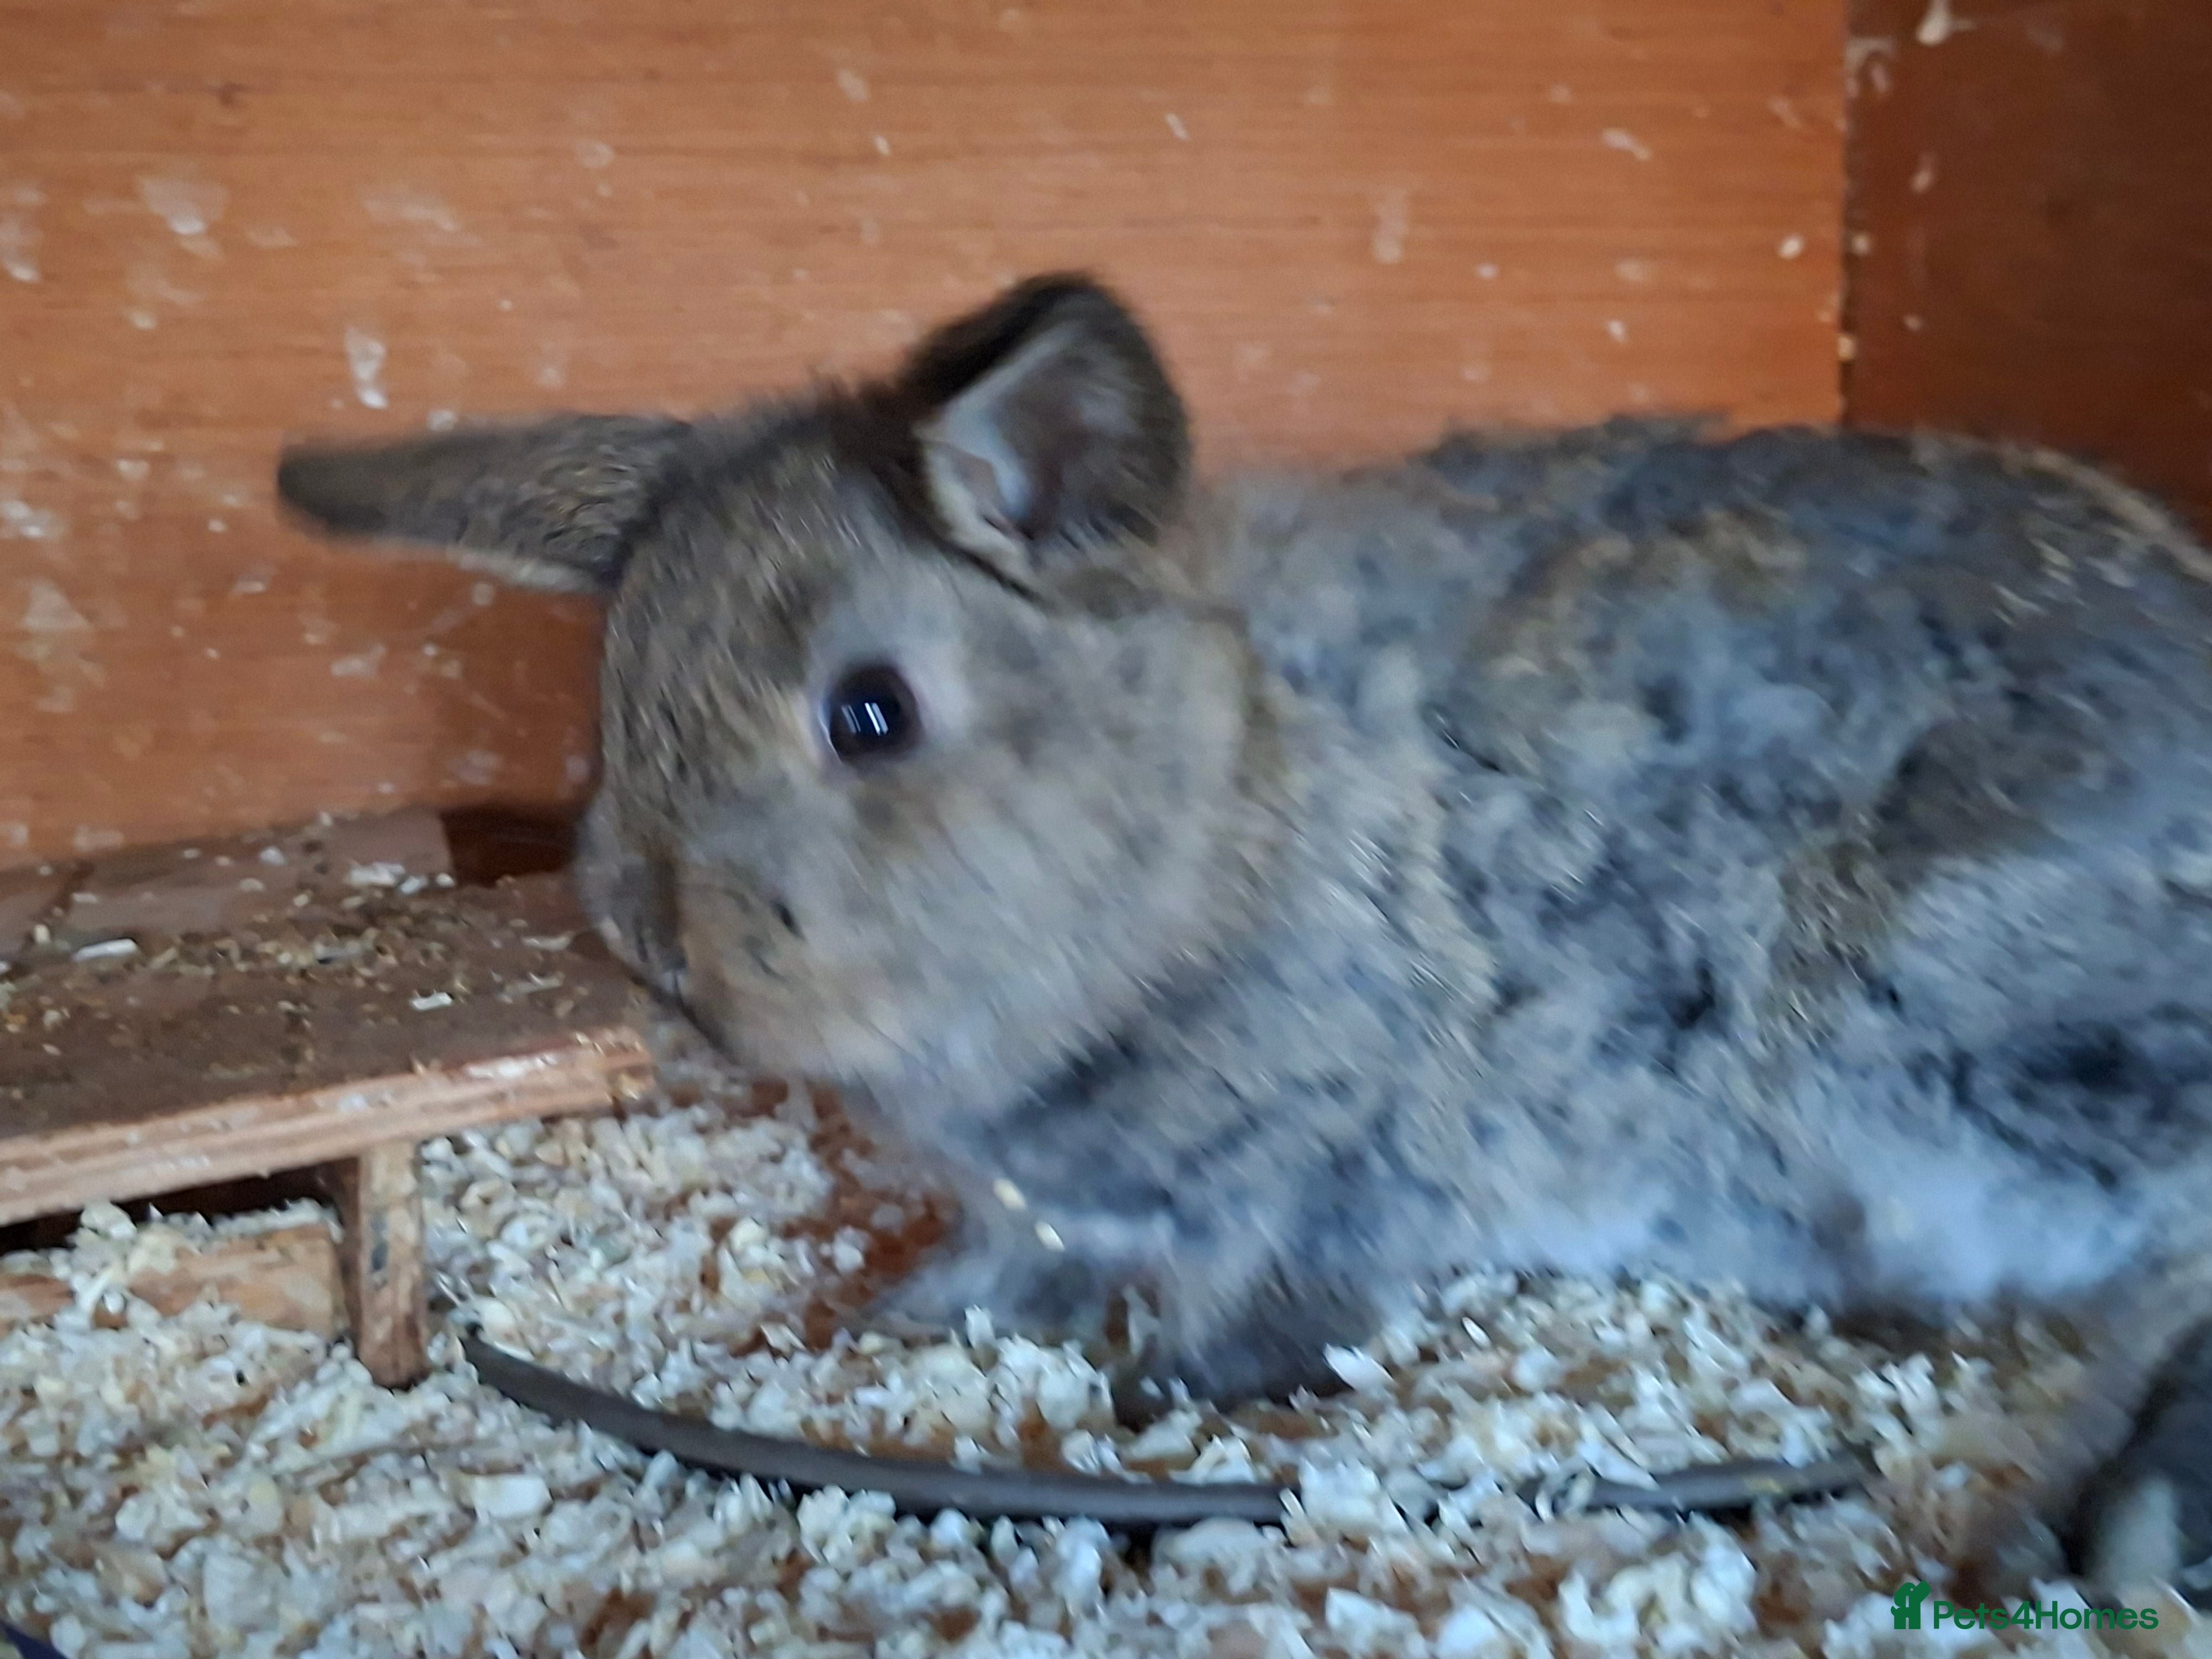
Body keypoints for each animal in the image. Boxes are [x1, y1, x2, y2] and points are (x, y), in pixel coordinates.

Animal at [276, 272, 2212, 1606]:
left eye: (872, 714)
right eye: (616, 698)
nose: (654, 946)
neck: (1223, 809)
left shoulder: (1334, 1164)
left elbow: (1254, 1302)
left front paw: (1156, 1403)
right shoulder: (1045, 1199)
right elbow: (996, 1269)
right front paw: (869, 1332)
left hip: (1947, 1043)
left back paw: (2093, 1516)